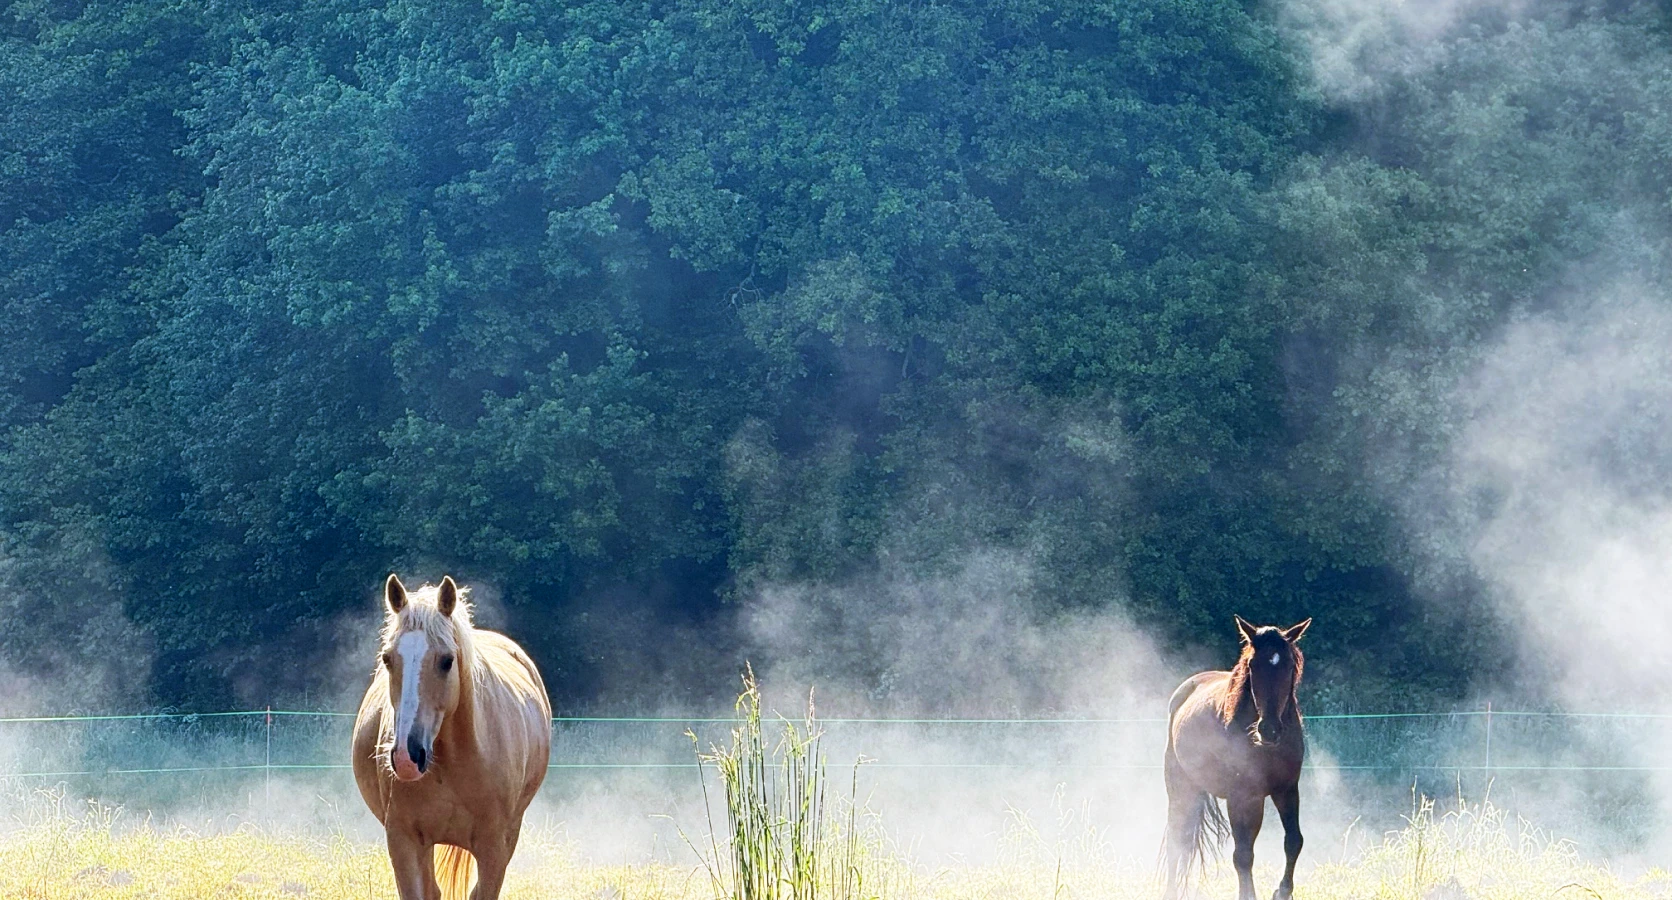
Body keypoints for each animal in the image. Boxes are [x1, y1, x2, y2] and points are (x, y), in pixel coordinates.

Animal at [1161, 616, 1312, 900]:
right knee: (1177, 841)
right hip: (1181, 790)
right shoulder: (1243, 797)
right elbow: (1243, 855)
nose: (1269, 729)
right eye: (1253, 665)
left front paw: (1282, 891)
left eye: (1287, 664)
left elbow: (1294, 841)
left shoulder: (1287, 790)